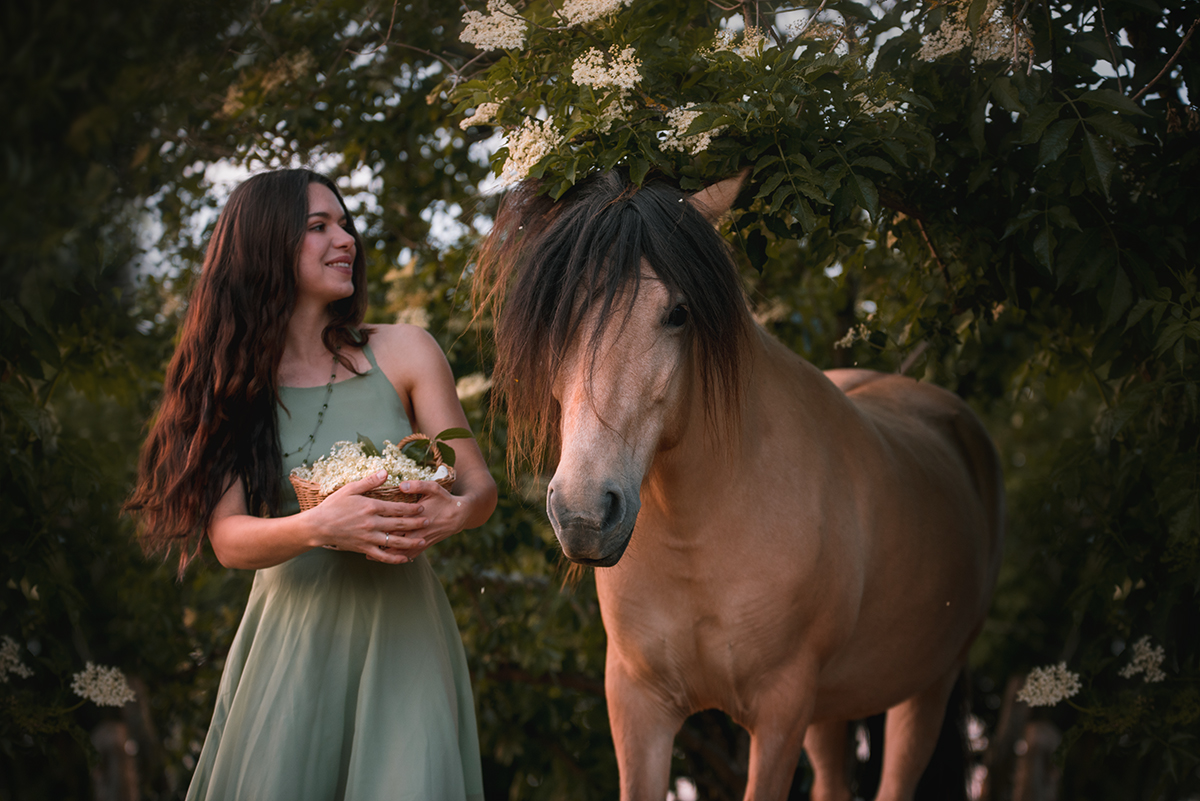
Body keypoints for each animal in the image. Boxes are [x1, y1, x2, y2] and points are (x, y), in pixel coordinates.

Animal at [475, 170, 1003, 801]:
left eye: (679, 313)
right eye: (557, 312)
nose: (584, 514)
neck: (700, 536)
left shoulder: (780, 713)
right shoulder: (637, 706)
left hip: (924, 692)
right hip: (831, 714)